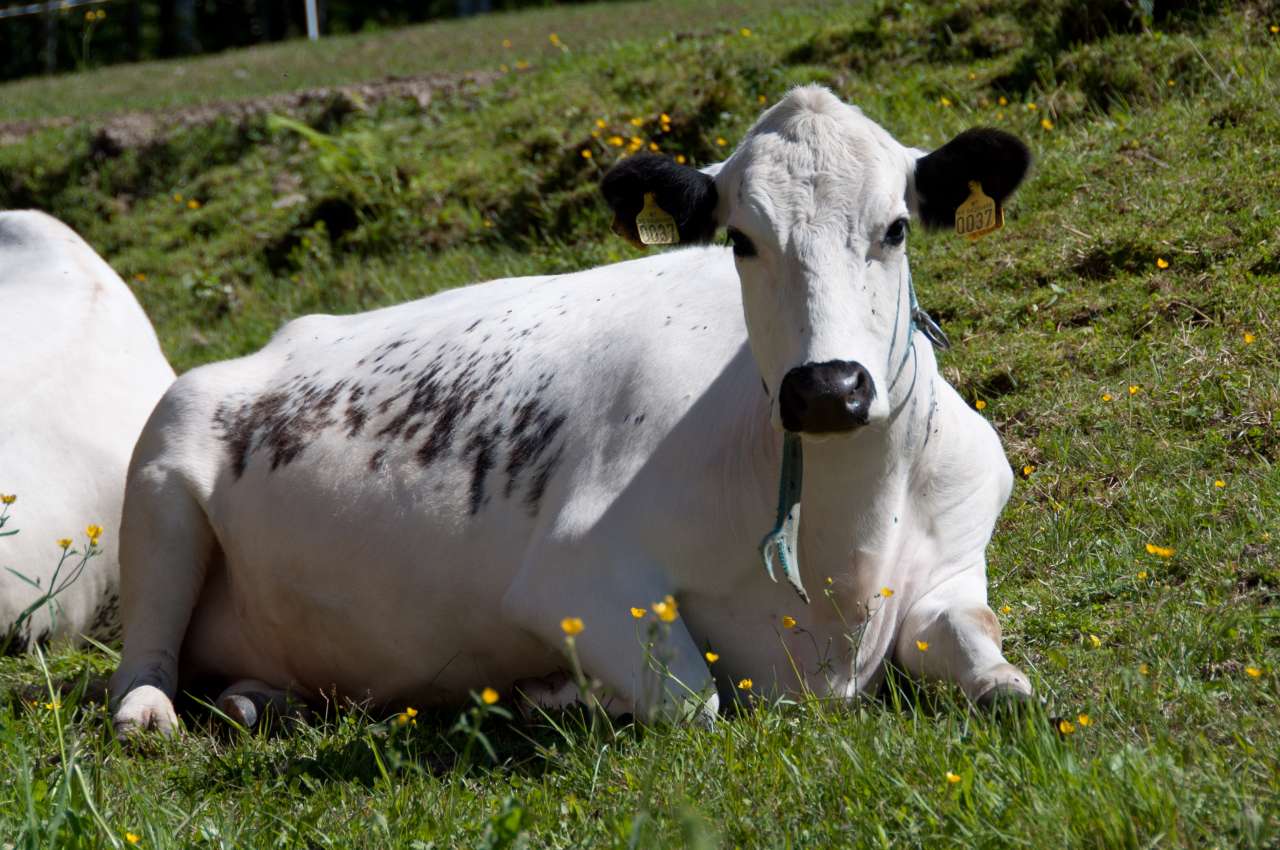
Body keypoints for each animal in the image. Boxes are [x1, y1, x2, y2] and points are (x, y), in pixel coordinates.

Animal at [107, 87, 1029, 737]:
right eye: (741, 239)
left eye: (897, 228)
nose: (828, 388)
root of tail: (283, 336)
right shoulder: (573, 571)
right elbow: (693, 699)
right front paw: (565, 696)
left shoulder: (955, 557)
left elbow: (985, 649)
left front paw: (1005, 682)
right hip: (159, 473)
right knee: (143, 651)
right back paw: (150, 714)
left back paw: (261, 701)